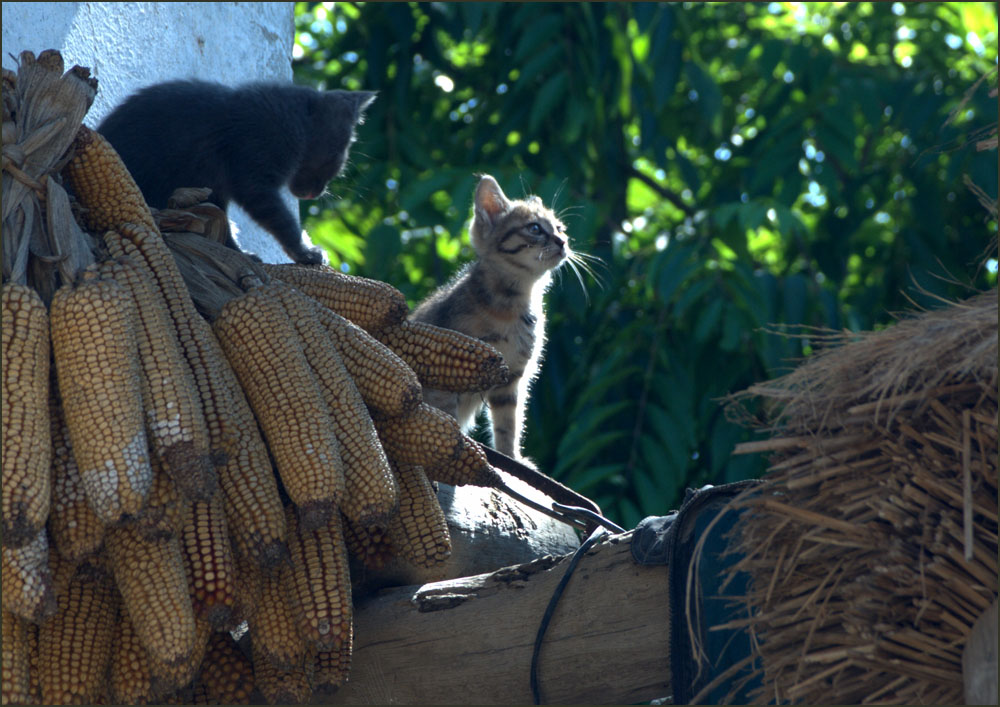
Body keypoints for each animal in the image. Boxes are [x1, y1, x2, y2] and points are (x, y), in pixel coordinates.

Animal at [97, 80, 376, 262]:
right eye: (336, 161)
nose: (317, 193)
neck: (293, 120)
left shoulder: (215, 186)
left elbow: (222, 222)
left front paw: (239, 252)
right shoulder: (254, 177)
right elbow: (281, 219)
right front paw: (305, 252)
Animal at [410, 175, 576, 462]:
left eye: (559, 228)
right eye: (534, 228)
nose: (562, 241)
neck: (511, 306)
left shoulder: (511, 379)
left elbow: (508, 423)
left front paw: (511, 456)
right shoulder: (444, 368)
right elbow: (445, 413)